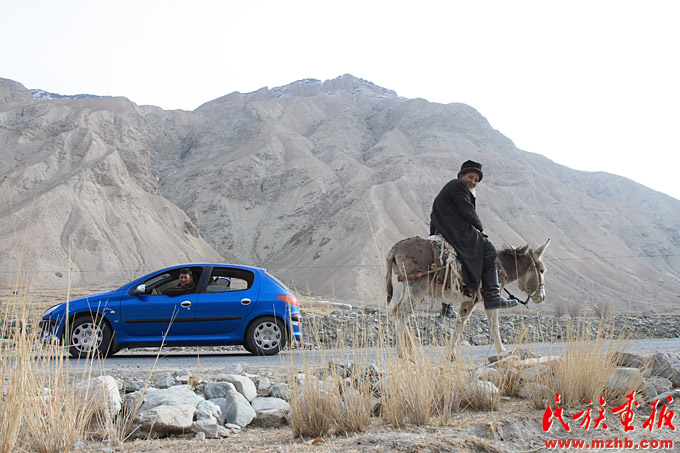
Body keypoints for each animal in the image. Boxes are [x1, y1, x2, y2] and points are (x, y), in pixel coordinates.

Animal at [385, 236, 550, 358]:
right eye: (542, 270)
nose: (542, 297)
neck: (500, 266)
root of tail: (396, 248)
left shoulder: (468, 300)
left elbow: (460, 324)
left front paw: (451, 353)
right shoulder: (485, 299)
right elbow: (493, 325)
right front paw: (502, 352)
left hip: (406, 286)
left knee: (397, 311)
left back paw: (410, 349)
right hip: (417, 288)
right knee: (402, 313)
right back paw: (403, 353)